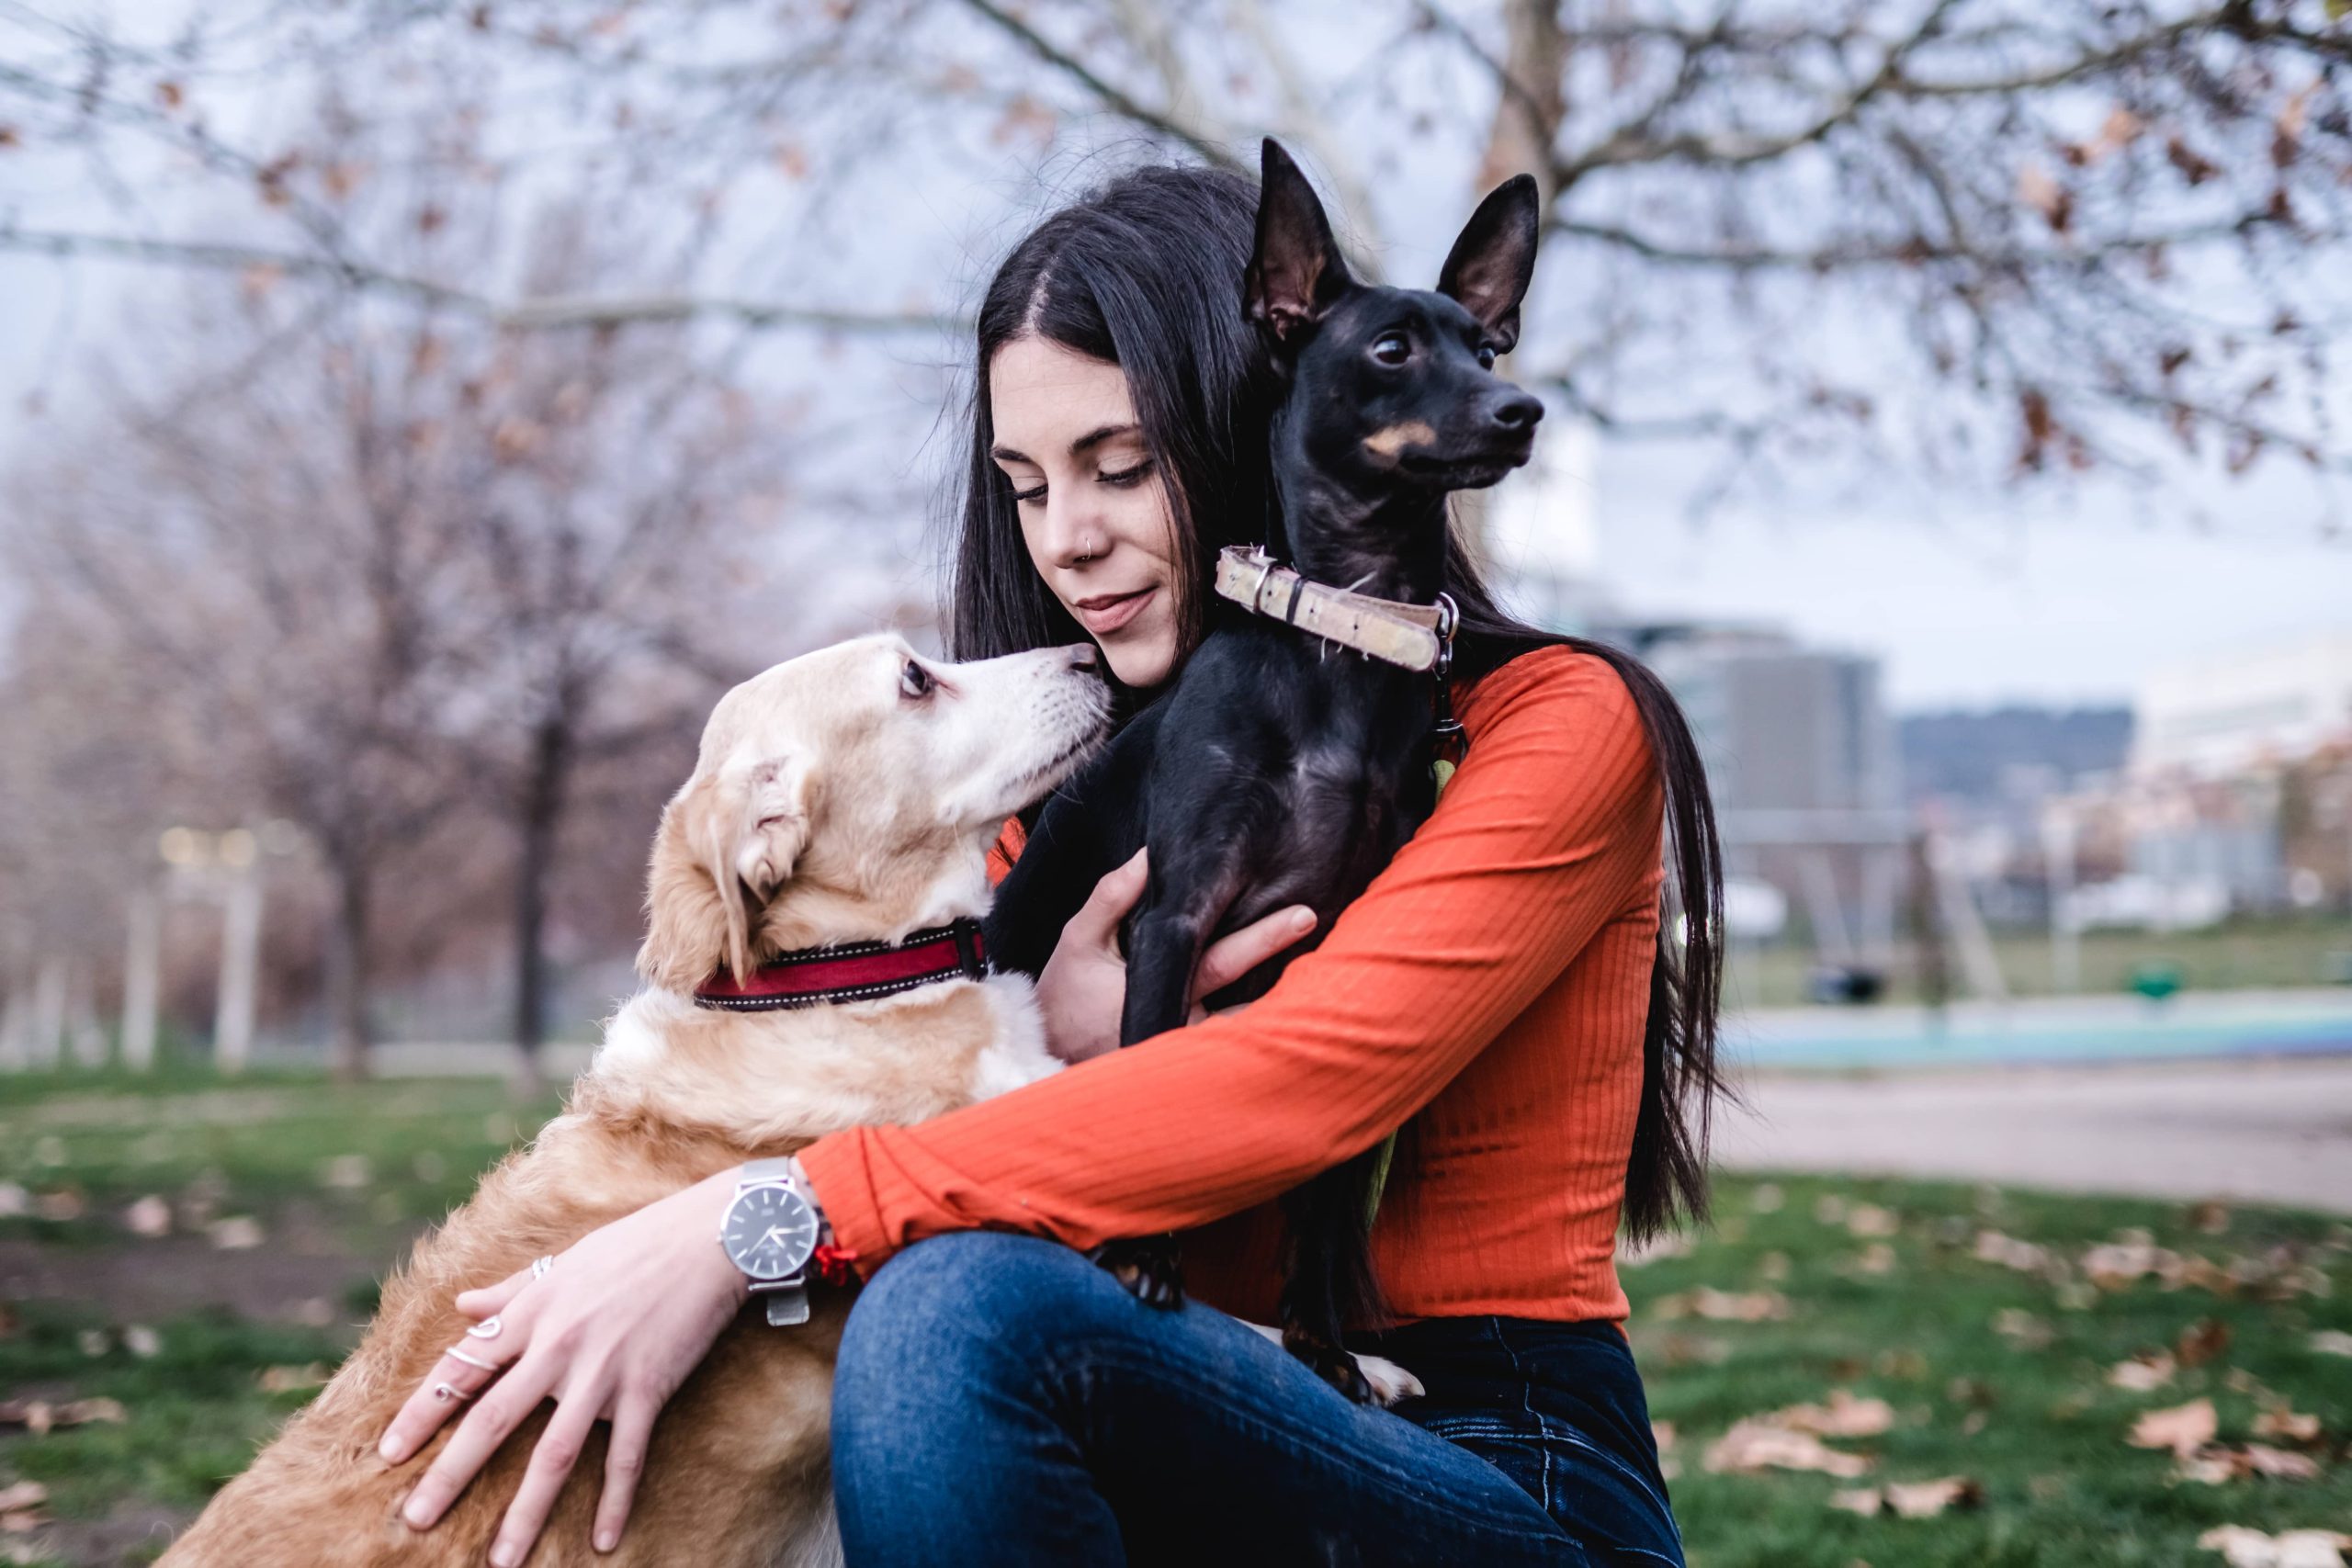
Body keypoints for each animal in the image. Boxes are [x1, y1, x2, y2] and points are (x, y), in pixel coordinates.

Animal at [988, 143, 1543, 1401]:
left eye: (1486, 349)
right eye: (1389, 350)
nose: (1521, 409)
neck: (1344, 633)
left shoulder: (1341, 966)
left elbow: (1325, 1202)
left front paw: (1322, 1344)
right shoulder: (1178, 917)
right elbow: (1148, 1096)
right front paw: (1147, 1262)